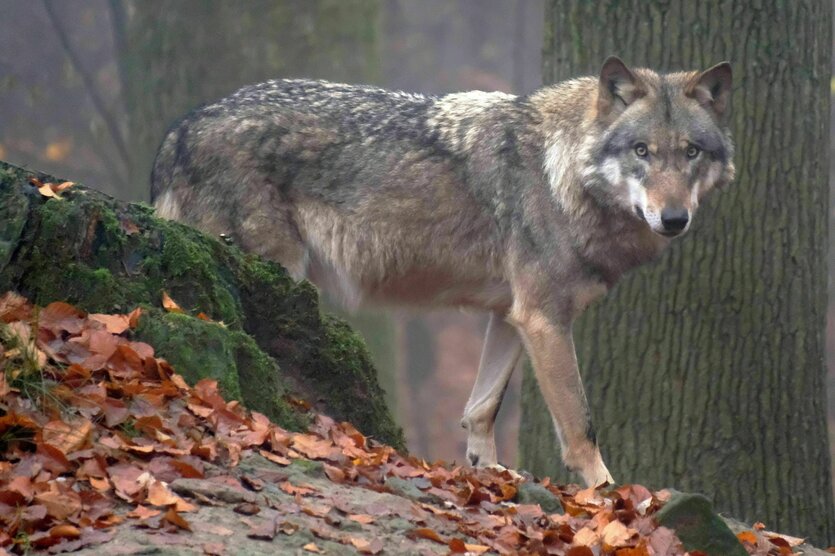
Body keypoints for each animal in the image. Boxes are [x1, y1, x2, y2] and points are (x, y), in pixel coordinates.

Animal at [151, 57, 734, 487]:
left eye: (690, 153)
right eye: (641, 151)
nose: (674, 219)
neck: (562, 173)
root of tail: (179, 130)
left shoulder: (512, 316)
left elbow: (481, 409)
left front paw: (490, 474)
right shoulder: (545, 319)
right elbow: (580, 428)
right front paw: (611, 499)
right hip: (277, 272)